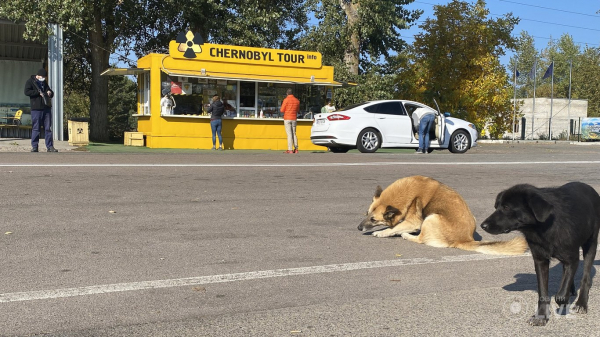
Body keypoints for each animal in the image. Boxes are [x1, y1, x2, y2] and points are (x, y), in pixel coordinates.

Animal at [358, 175, 528, 253]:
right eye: (366, 214)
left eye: (373, 219)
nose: (359, 228)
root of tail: (464, 239)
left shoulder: (414, 221)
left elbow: (393, 228)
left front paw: (382, 232)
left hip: (431, 218)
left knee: (420, 240)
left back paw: (406, 235)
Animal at [480, 181, 600, 326]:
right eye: (496, 207)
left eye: (507, 207)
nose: (482, 226)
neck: (542, 227)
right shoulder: (540, 261)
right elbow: (542, 292)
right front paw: (541, 316)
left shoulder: (572, 259)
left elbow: (560, 295)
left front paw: (562, 302)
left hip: (591, 244)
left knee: (585, 277)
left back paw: (581, 303)